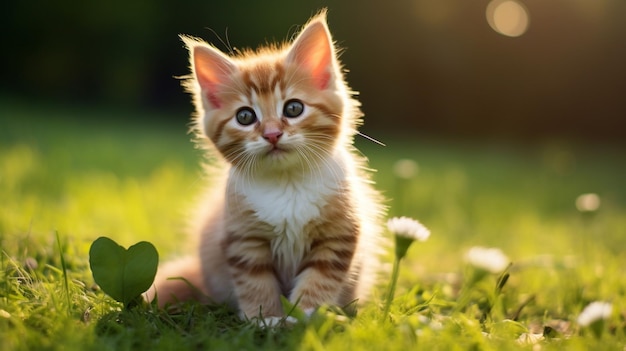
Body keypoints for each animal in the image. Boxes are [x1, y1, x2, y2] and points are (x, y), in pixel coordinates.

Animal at [146, 11, 382, 324]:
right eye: (245, 116)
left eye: (293, 108)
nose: (272, 134)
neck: (287, 183)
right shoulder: (242, 238)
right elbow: (255, 282)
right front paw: (266, 318)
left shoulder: (338, 234)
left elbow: (320, 279)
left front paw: (307, 315)